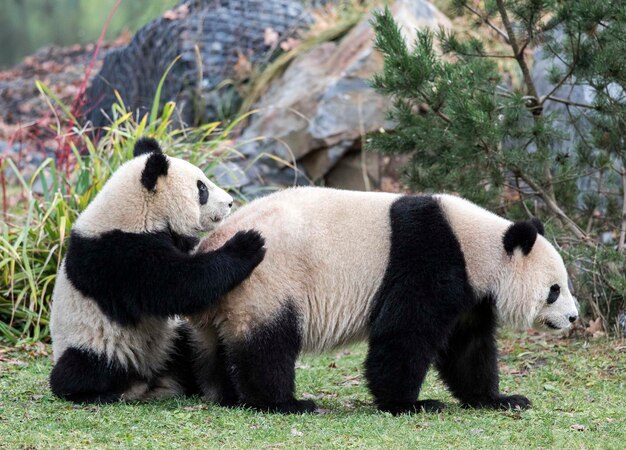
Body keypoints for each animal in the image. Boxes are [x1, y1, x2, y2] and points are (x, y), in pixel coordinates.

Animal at [48, 138, 264, 404]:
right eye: (202, 188)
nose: (230, 202)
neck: (135, 210)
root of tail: (147, 379)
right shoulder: (117, 256)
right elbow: (177, 287)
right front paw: (247, 244)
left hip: (170, 339)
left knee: (189, 346)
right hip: (93, 342)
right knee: (80, 368)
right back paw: (93, 391)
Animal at [189, 186, 576, 414]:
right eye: (555, 290)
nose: (572, 318)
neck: (477, 248)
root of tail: (209, 246)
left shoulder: (471, 294)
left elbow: (467, 347)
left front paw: (499, 399)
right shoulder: (428, 256)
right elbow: (405, 332)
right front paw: (411, 403)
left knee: (225, 347)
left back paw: (229, 395)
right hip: (267, 283)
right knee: (267, 344)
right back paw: (284, 403)